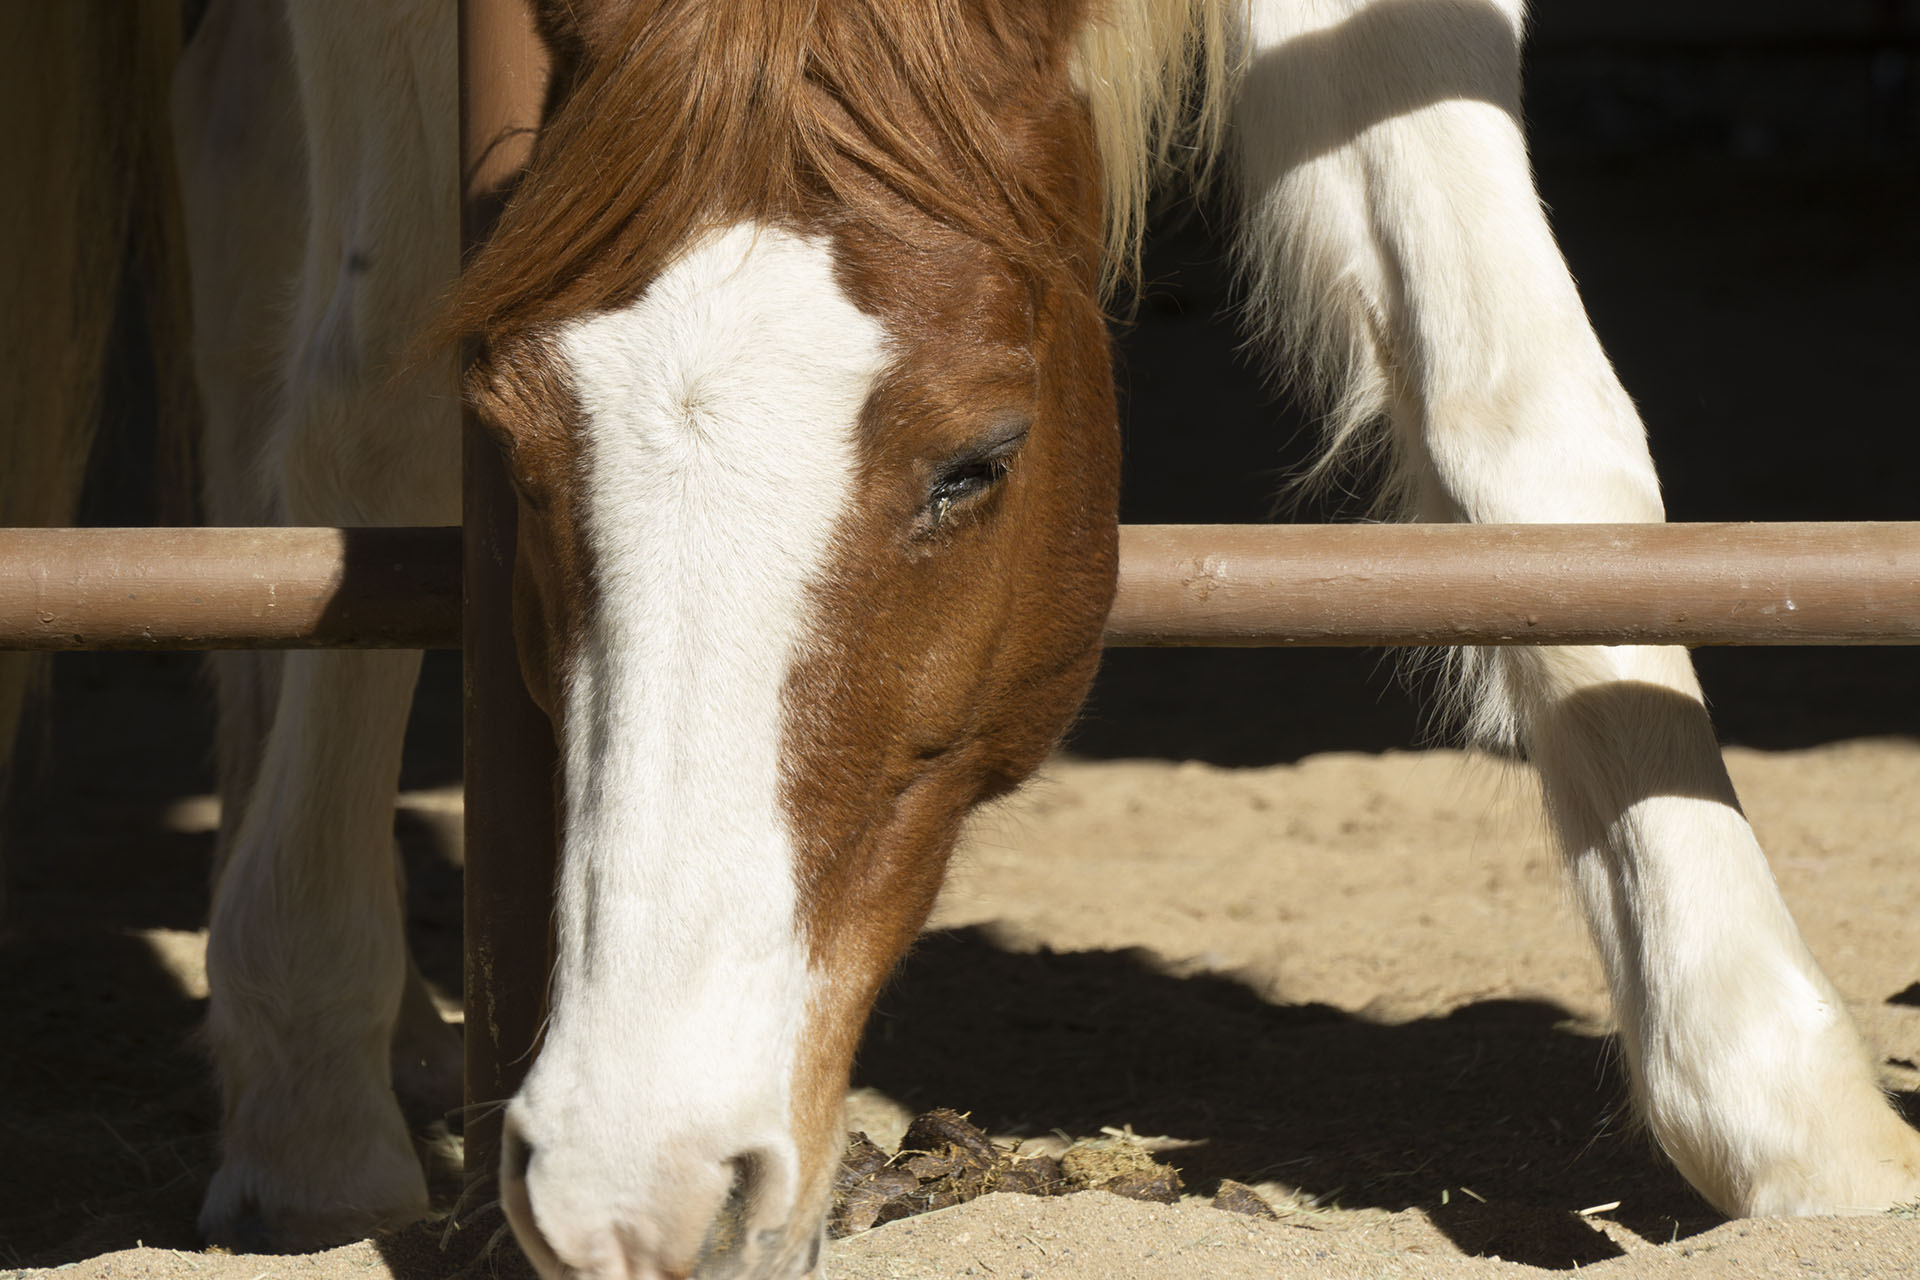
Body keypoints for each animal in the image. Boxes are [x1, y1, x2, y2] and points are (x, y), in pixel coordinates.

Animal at [3, 0, 1920, 1274]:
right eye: (525, 446)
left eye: (977, 462)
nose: (639, 1186)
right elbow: (368, 398)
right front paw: (309, 1095)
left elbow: (1526, 408)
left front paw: (1790, 1115)